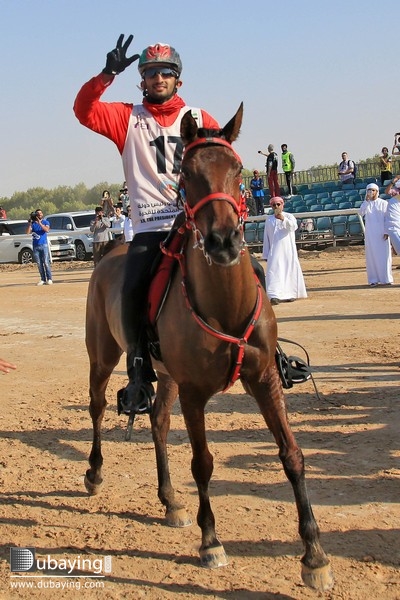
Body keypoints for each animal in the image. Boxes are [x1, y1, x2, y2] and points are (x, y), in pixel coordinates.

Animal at [85, 104, 334, 592]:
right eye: (187, 174)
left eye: (237, 169)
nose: (223, 242)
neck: (224, 304)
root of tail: (110, 250)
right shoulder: (196, 394)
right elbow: (203, 463)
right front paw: (211, 541)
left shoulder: (263, 379)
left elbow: (292, 456)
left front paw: (314, 554)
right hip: (103, 358)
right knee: (99, 407)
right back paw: (95, 471)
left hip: (164, 377)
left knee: (159, 423)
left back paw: (170, 500)